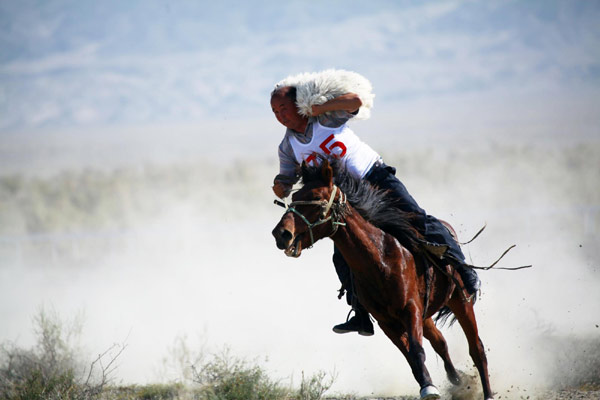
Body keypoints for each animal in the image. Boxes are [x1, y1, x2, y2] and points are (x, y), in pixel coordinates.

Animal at [272, 161, 492, 400]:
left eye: (316, 197)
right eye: (295, 197)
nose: (281, 234)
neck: (381, 260)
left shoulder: (411, 309)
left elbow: (416, 349)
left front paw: (430, 388)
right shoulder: (388, 322)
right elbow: (411, 355)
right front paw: (428, 385)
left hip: (460, 301)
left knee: (476, 348)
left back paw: (487, 392)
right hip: (426, 315)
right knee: (440, 342)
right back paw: (457, 380)